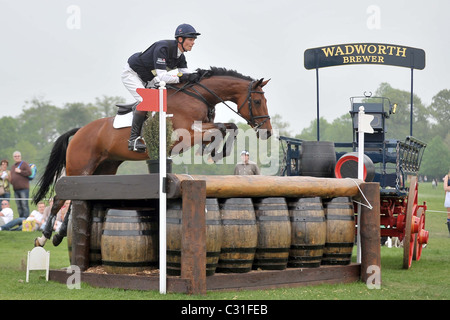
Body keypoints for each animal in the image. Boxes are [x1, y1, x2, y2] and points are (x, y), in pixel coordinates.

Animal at [33, 67, 272, 248]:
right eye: (257, 101)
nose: (267, 132)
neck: (197, 96)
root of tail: (80, 130)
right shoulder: (185, 134)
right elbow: (222, 127)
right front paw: (213, 152)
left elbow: (229, 127)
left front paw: (215, 152)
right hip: (80, 166)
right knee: (60, 199)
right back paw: (43, 238)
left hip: (103, 168)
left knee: (76, 198)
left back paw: (59, 235)